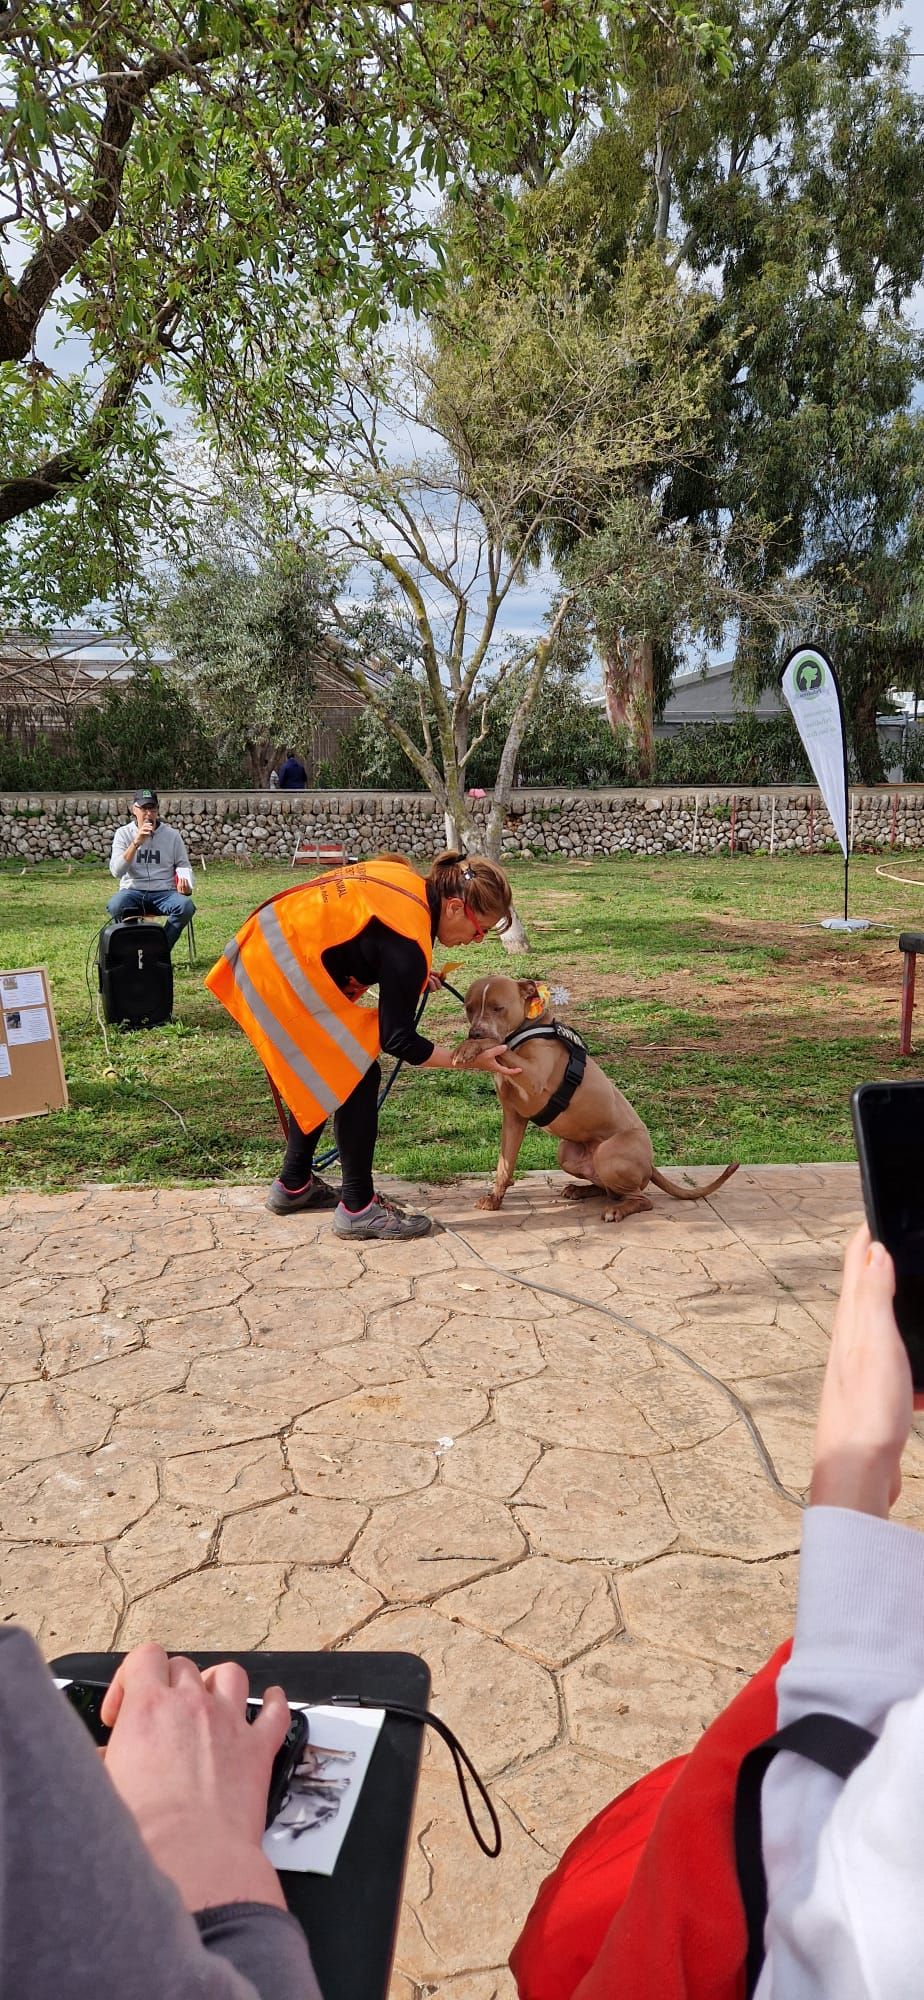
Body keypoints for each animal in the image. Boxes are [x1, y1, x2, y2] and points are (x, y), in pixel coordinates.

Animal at [452, 968, 740, 1216]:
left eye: (498, 1007)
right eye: (469, 1008)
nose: (474, 1032)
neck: (525, 1030)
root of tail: (650, 1165)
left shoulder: (533, 1079)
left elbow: (496, 1045)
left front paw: (468, 1047)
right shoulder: (513, 1118)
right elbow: (504, 1166)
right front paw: (495, 1199)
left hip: (608, 1154)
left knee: (640, 1199)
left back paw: (618, 1210)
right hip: (566, 1153)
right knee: (608, 1189)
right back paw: (581, 1190)